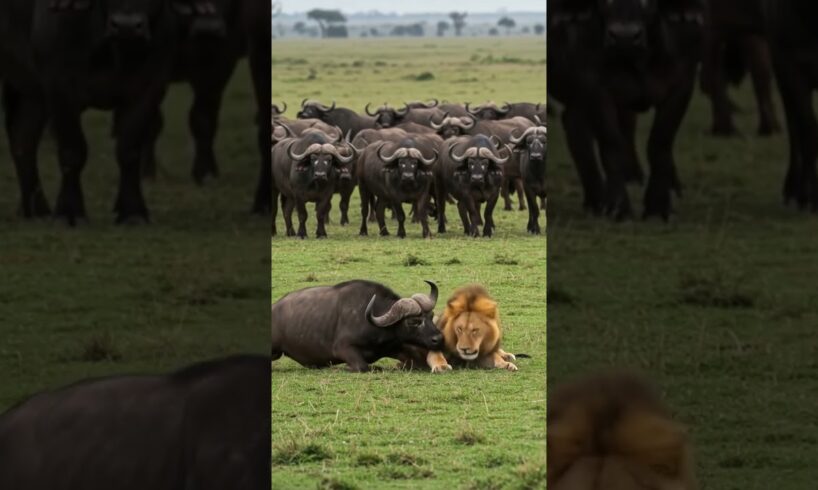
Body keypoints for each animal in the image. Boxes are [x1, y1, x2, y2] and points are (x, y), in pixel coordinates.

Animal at [272, 280, 443, 372]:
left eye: (431, 316)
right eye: (413, 321)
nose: (438, 339)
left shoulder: (394, 347)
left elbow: (418, 362)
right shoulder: (343, 348)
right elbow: (364, 367)